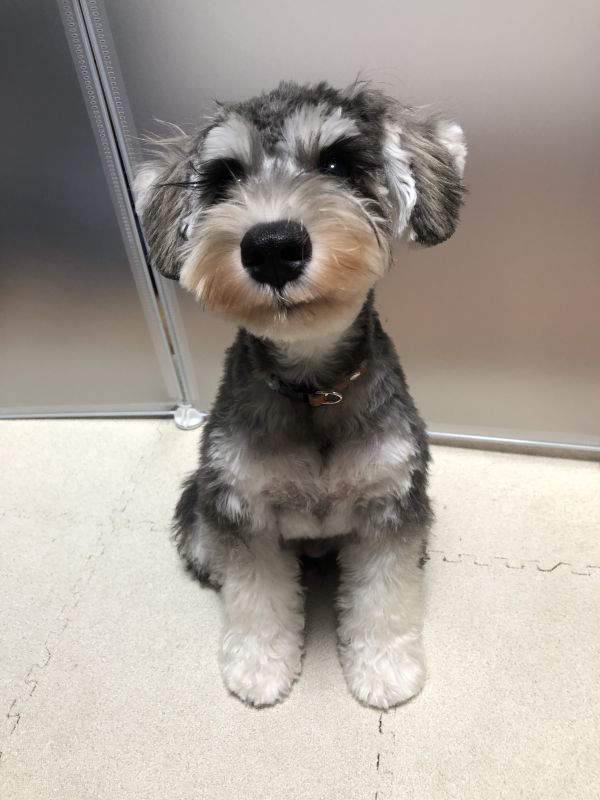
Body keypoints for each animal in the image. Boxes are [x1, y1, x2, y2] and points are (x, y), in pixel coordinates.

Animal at [135, 81, 466, 709]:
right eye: (224, 177)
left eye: (337, 163)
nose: (271, 246)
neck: (313, 390)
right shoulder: (240, 509)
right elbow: (257, 598)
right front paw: (260, 668)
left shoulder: (391, 505)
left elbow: (385, 597)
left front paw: (385, 669)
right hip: (200, 509)